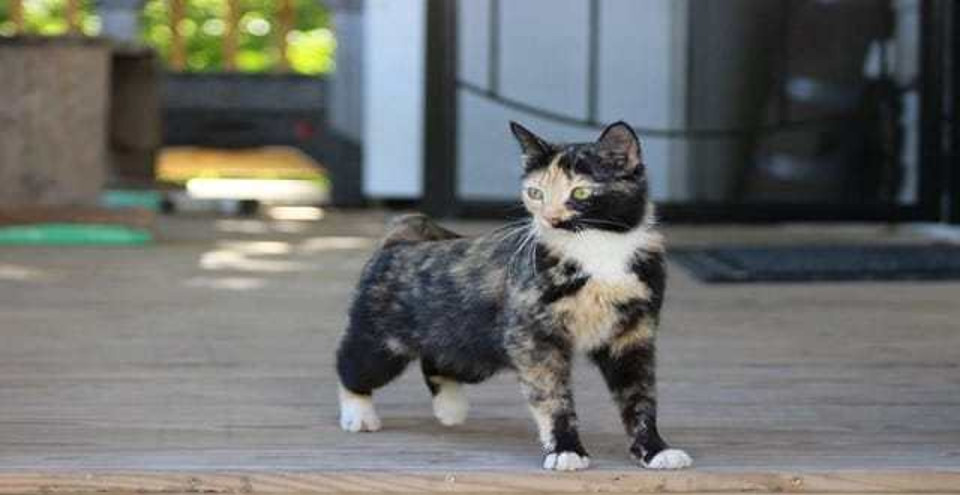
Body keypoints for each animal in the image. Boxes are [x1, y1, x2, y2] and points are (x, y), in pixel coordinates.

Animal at [336, 122, 688, 470]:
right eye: (535, 193)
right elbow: (552, 397)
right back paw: (359, 414)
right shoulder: (534, 339)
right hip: (381, 344)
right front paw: (566, 449)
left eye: (580, 192)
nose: (549, 219)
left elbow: (640, 396)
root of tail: (402, 240)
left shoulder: (633, 335)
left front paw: (655, 449)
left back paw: (450, 409)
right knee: (350, 366)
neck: (598, 252)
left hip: (471, 351)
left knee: (436, 361)